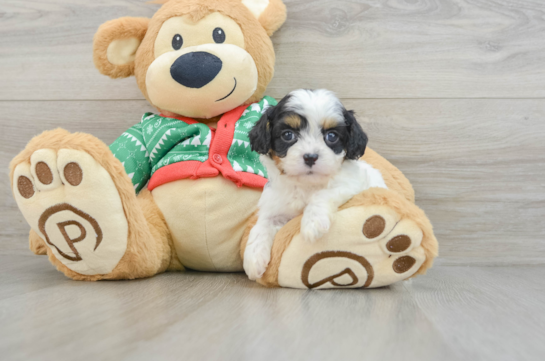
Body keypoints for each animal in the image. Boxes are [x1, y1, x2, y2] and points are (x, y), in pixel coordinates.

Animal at [242, 88, 386, 280]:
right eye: (288, 135)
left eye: (331, 136)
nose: (310, 157)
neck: (305, 184)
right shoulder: (275, 204)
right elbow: (262, 224)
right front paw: (253, 258)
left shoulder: (351, 183)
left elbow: (322, 194)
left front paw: (312, 222)